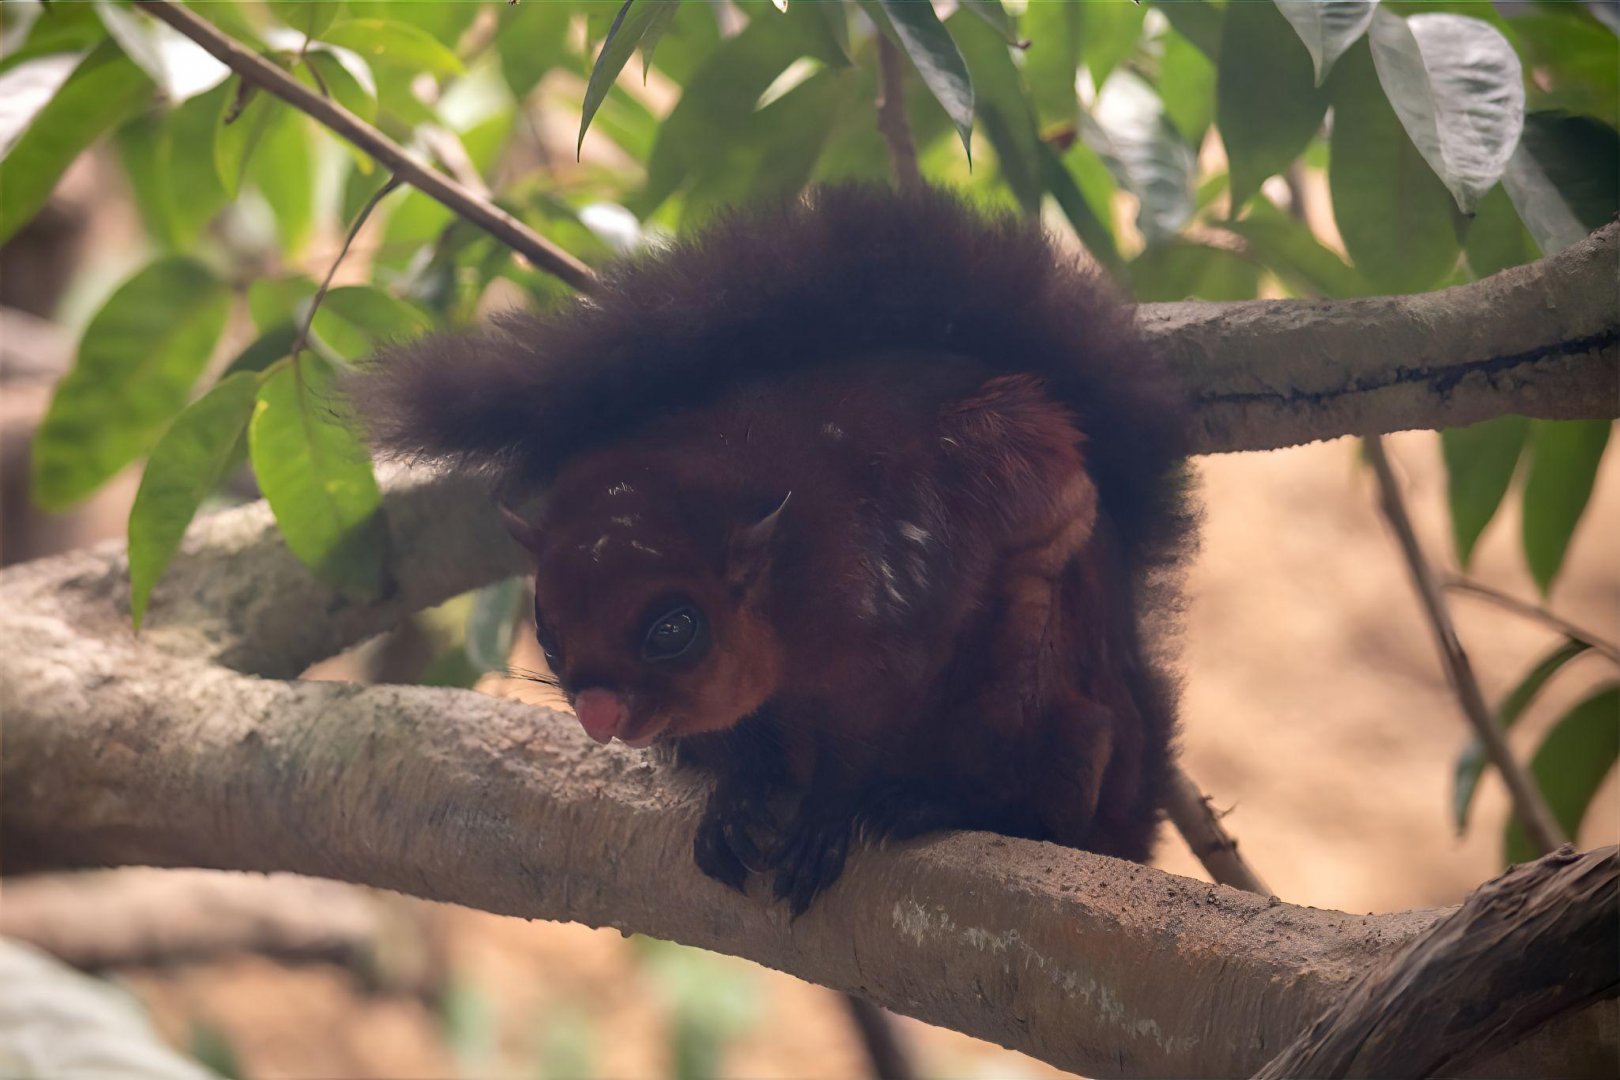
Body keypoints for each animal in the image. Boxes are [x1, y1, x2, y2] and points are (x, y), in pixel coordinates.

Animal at [354, 185, 1194, 915]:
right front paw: (735, 802)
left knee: (1060, 773)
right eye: (550, 640)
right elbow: (740, 744)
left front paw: (826, 817)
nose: (597, 711)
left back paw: (939, 801)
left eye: (673, 629)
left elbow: (866, 729)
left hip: (1051, 677)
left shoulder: (891, 617)